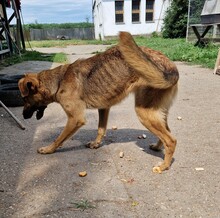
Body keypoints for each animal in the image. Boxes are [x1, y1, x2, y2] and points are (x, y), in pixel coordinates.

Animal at [17, 31, 179, 173]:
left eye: (24, 99)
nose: (23, 116)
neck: (59, 81)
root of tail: (171, 68)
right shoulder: (104, 108)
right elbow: (101, 129)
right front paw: (96, 144)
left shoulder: (76, 119)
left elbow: (59, 139)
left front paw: (48, 149)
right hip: (157, 112)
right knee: (168, 133)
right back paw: (158, 148)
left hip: (144, 112)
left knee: (171, 140)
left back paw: (164, 166)